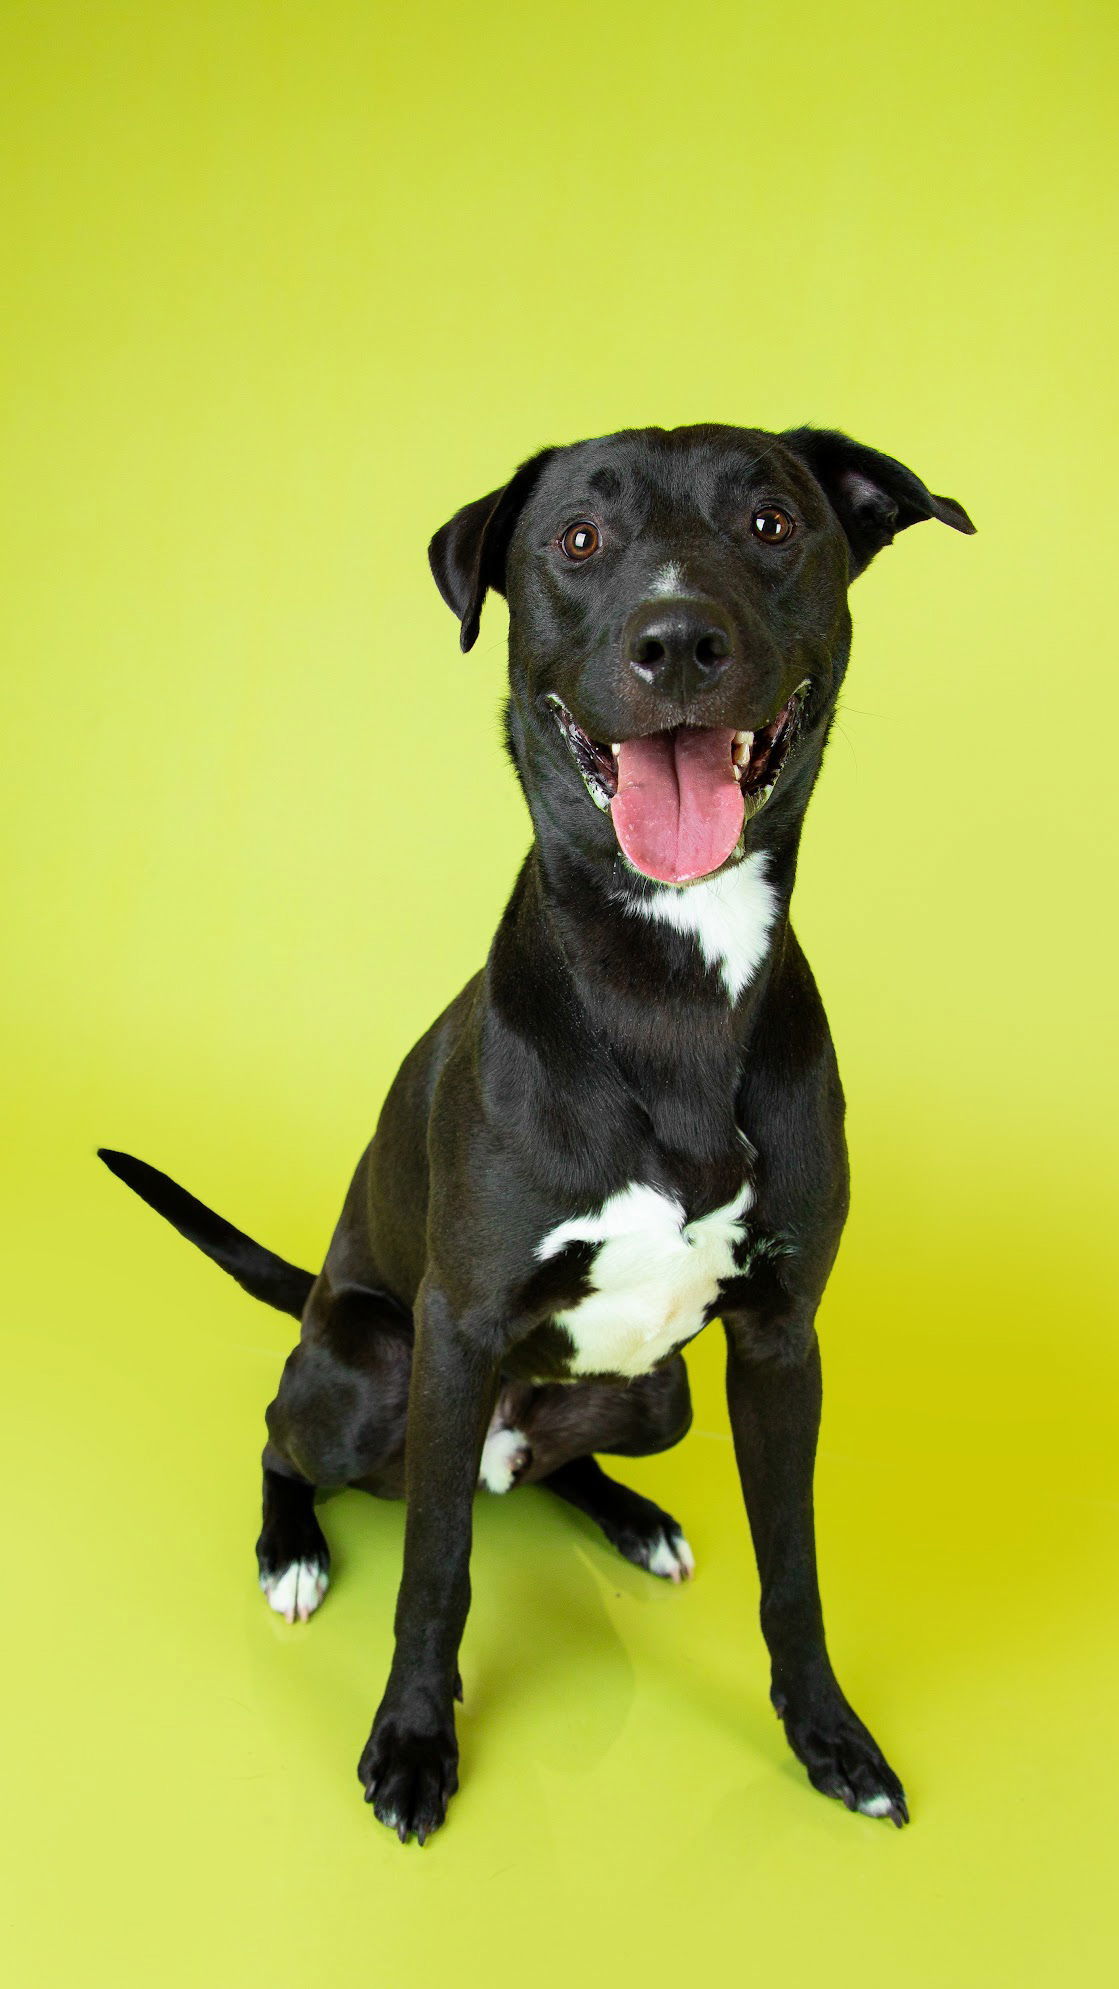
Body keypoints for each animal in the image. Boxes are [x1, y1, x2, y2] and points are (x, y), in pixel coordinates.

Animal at [102, 423, 973, 1845]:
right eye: (578, 540)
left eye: (774, 523)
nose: (677, 642)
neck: (670, 976)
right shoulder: (456, 1331)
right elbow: (436, 1572)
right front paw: (411, 1742)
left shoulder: (782, 1342)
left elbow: (793, 1568)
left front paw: (829, 1738)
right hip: (367, 1370)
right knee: (293, 1438)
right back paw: (292, 1548)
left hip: (660, 1392)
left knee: (542, 1466)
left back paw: (628, 1512)